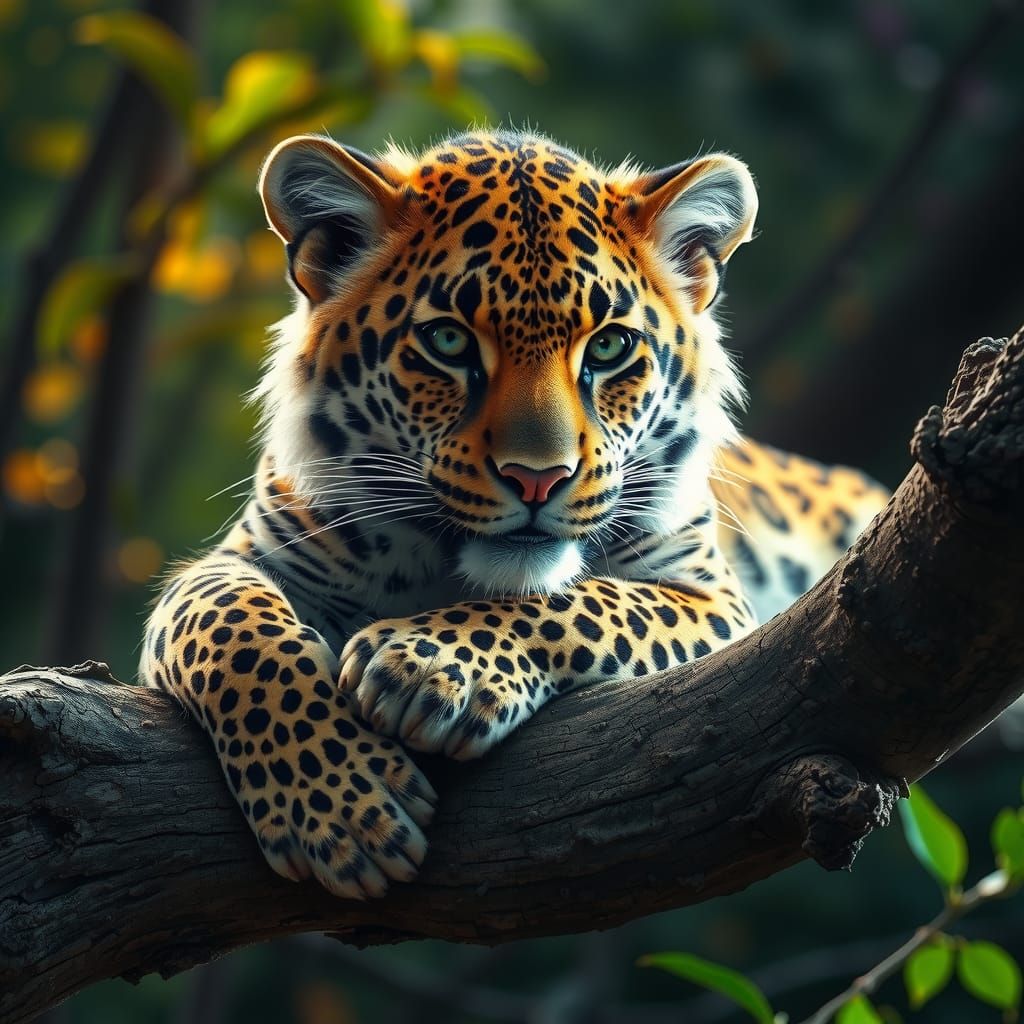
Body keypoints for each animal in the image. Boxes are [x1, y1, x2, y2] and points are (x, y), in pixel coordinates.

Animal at [140, 129, 889, 900]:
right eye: (447, 342)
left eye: (610, 346)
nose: (538, 479)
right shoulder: (237, 561)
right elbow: (233, 632)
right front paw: (341, 807)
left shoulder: (713, 603)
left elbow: (583, 600)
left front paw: (429, 666)